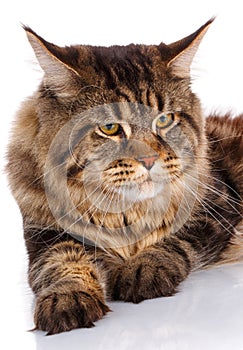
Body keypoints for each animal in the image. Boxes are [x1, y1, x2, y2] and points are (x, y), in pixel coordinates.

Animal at [7, 17, 243, 334]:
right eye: (109, 128)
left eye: (164, 120)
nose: (149, 159)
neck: (124, 213)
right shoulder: (46, 234)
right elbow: (63, 264)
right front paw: (67, 299)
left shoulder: (215, 208)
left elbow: (173, 242)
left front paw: (143, 269)